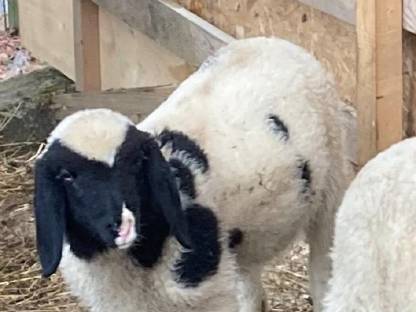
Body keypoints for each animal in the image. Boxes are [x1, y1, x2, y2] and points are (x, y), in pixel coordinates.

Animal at [34, 37, 356, 312]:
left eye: (137, 163)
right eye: (66, 176)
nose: (121, 226)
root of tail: (273, 41)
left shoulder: (206, 293)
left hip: (332, 179)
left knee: (323, 264)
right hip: (244, 241)